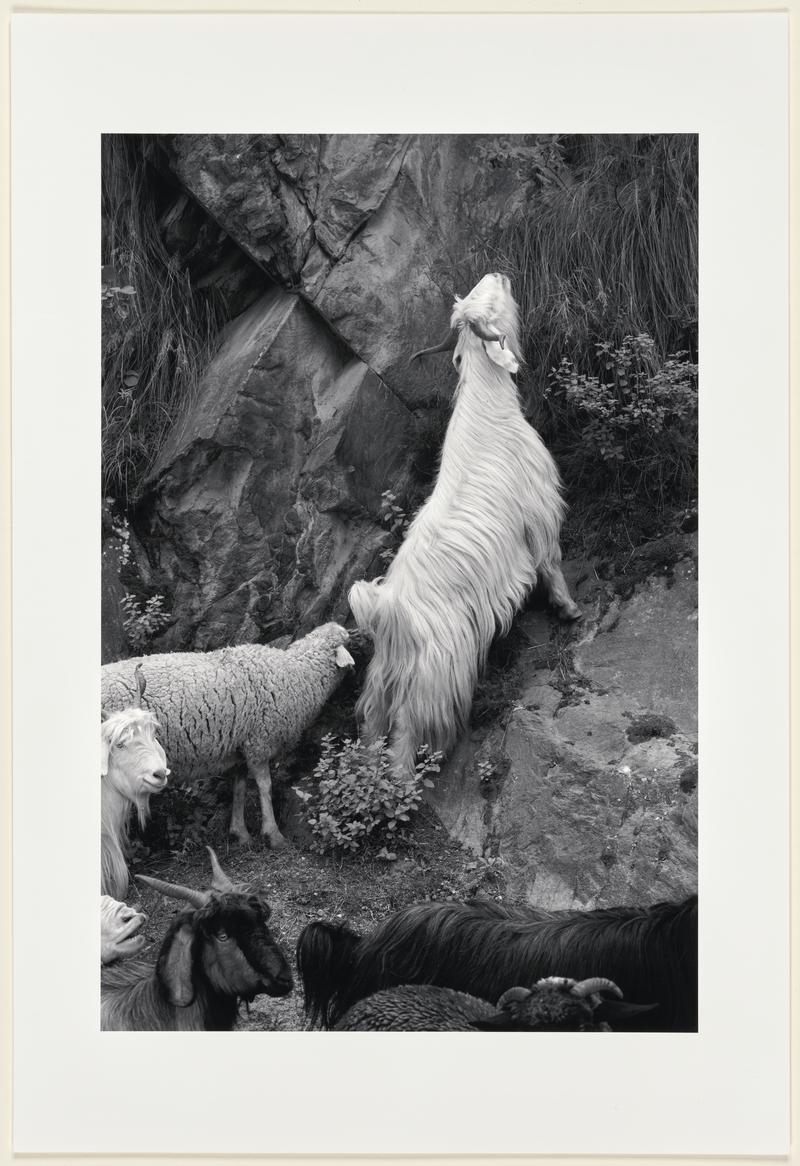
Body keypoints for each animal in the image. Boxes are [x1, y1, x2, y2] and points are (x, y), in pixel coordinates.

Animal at [99, 624, 354, 853]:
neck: (297, 674)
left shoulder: (238, 747)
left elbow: (239, 789)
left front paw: (240, 833)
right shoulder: (258, 742)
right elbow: (265, 787)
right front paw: (273, 835)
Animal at [349, 271, 583, 778]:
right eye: (486, 304)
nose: (499, 274)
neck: (489, 412)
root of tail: (386, 612)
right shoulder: (538, 510)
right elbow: (550, 563)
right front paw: (569, 609)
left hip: (383, 685)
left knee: (372, 730)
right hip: (435, 676)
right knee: (404, 740)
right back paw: (408, 783)